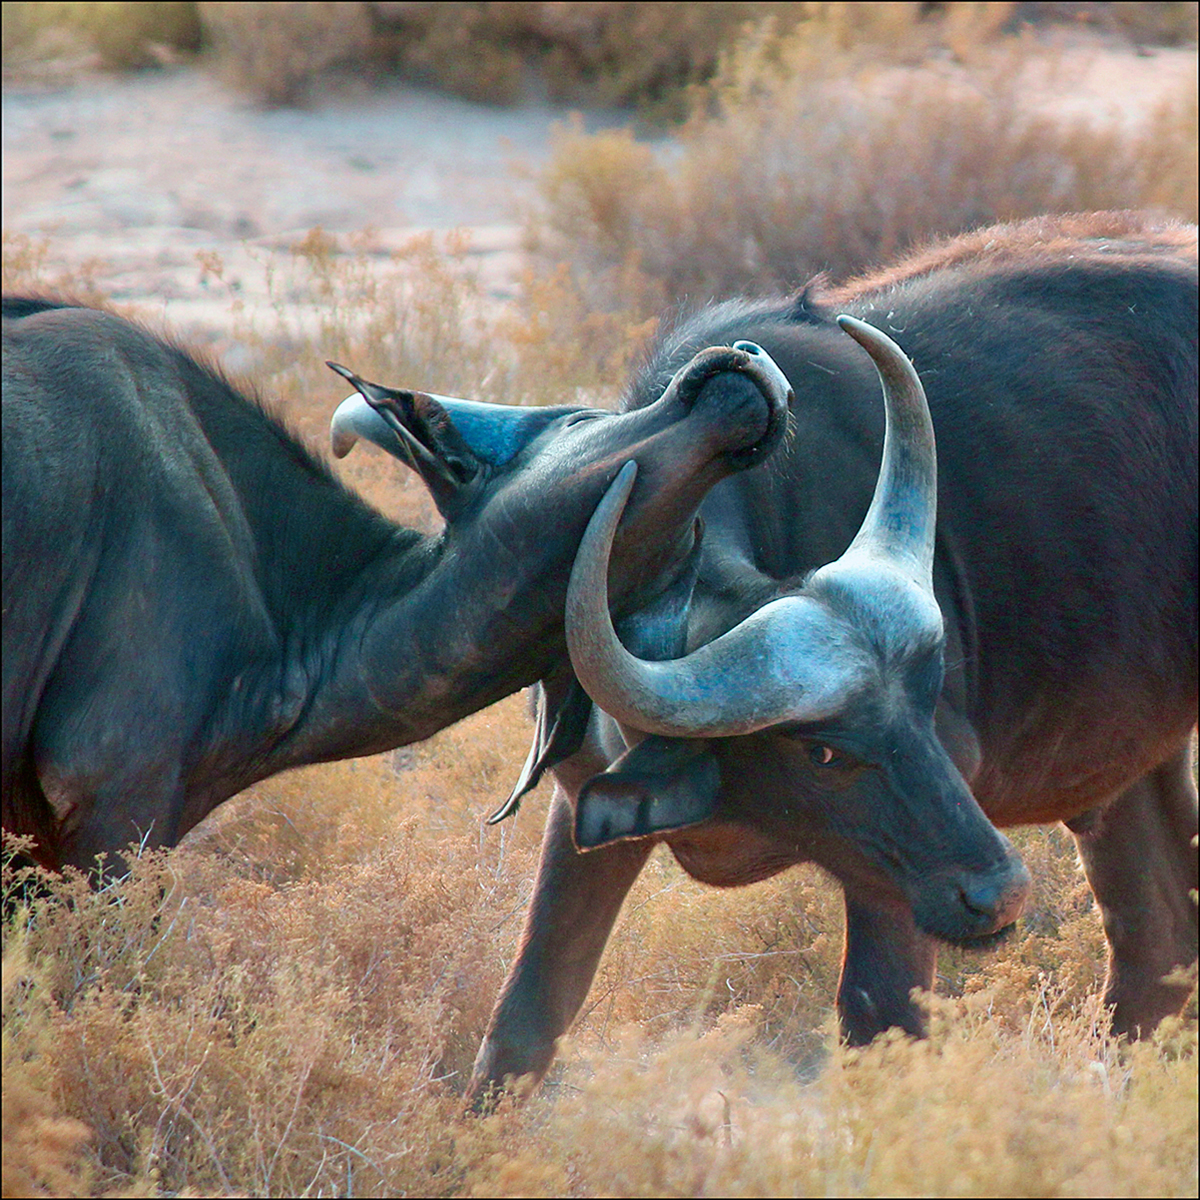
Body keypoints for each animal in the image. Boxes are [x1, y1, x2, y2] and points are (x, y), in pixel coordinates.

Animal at [468, 212, 1198, 1106]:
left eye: (924, 709)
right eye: (823, 753)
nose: (999, 896)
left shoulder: (896, 875)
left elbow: (878, 1021)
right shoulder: (583, 815)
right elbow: (526, 1018)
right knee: (1157, 948)